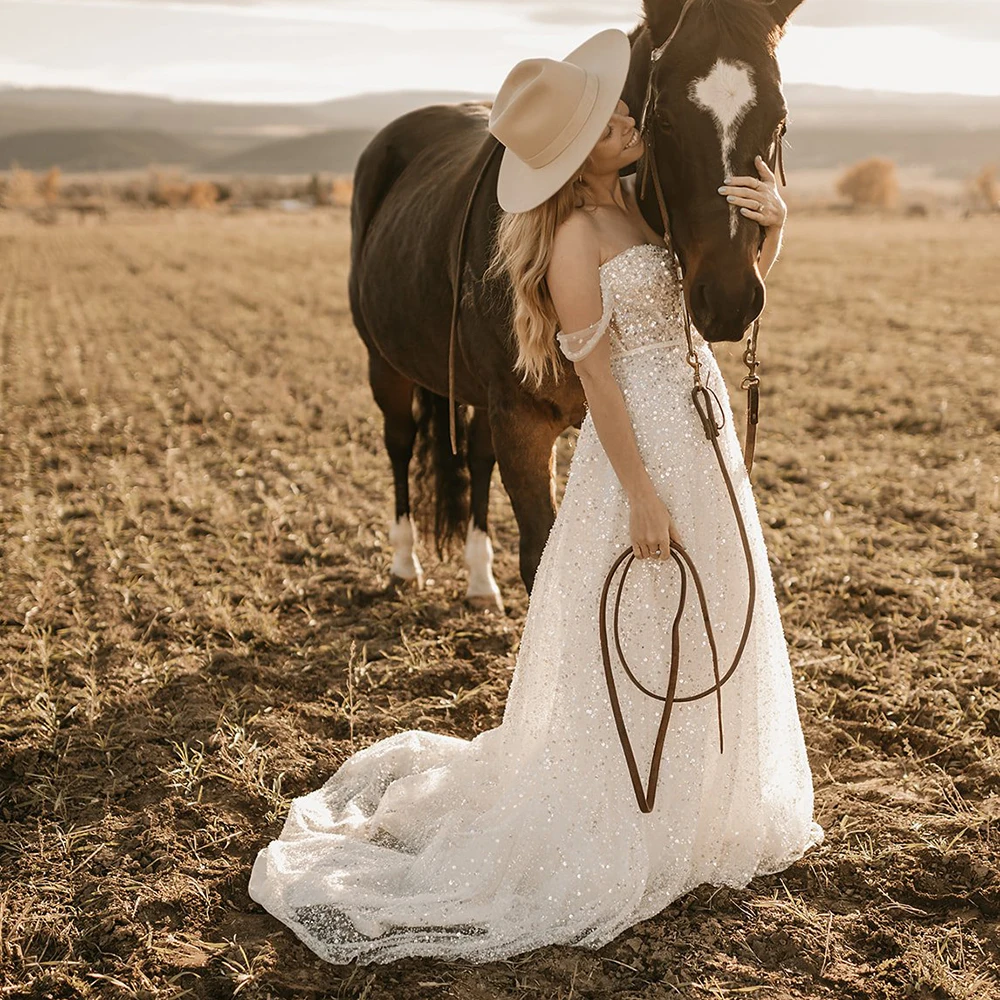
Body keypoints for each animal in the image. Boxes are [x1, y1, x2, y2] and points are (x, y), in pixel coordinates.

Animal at [350, 0, 804, 608]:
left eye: (778, 120)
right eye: (664, 120)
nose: (730, 297)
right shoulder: (521, 419)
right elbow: (538, 560)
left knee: (474, 457)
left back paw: (478, 579)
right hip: (386, 366)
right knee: (399, 443)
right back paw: (404, 563)